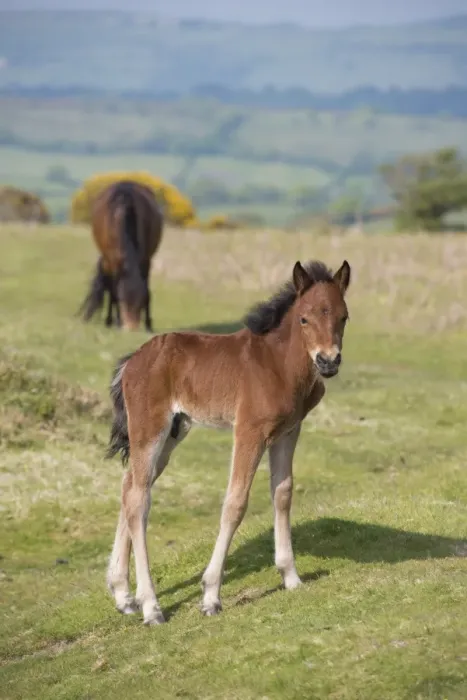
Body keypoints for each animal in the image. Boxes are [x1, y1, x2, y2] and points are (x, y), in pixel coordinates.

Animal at [78, 180, 164, 332]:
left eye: (140, 303)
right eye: (123, 302)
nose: (131, 329)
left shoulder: (146, 261)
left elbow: (147, 291)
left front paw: (148, 325)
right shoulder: (113, 262)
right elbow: (114, 292)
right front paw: (114, 321)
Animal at [106, 258, 351, 625]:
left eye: (343, 317)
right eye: (304, 318)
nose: (328, 361)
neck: (278, 364)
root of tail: (131, 361)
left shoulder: (288, 431)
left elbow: (283, 493)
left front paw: (291, 577)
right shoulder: (249, 431)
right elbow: (235, 503)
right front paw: (211, 596)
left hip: (173, 432)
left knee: (130, 485)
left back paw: (123, 595)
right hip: (150, 429)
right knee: (138, 500)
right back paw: (151, 606)